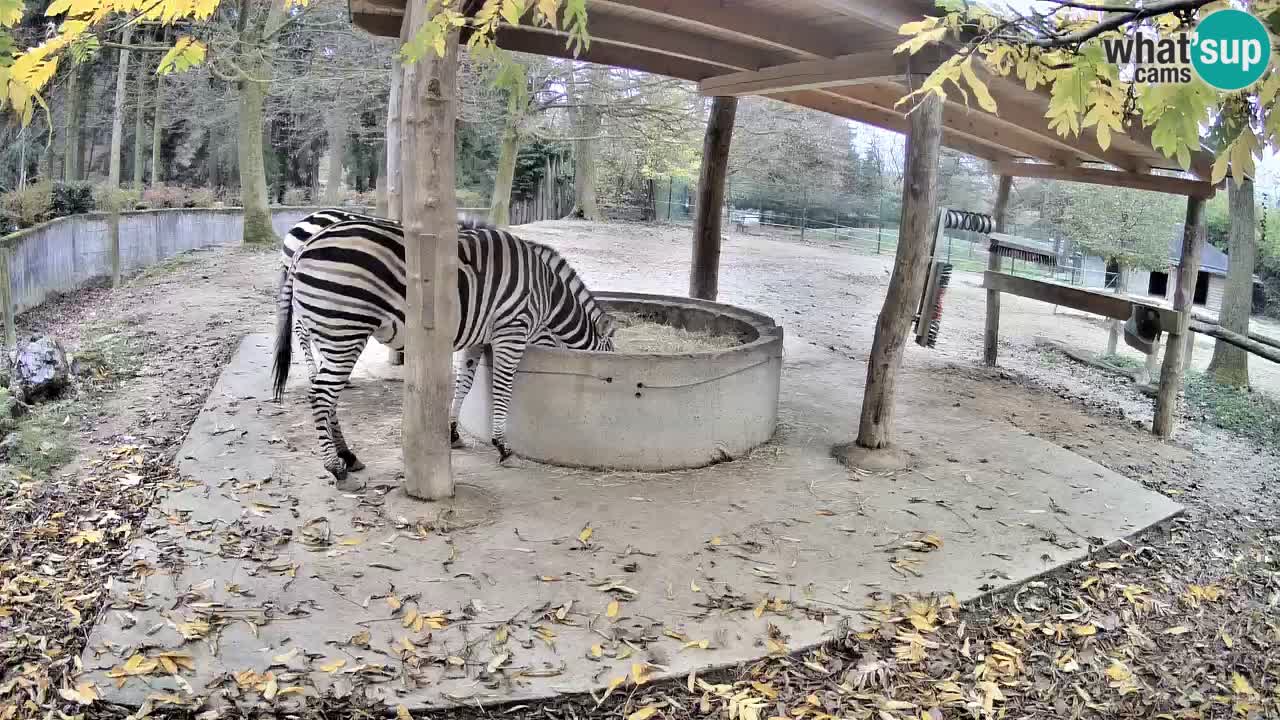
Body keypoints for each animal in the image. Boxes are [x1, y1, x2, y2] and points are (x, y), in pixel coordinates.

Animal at [272, 217, 616, 483]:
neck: (548, 294)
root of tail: (304, 247)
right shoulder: (511, 331)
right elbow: (502, 388)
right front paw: (502, 445)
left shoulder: (479, 337)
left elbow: (464, 383)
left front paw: (452, 433)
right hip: (344, 330)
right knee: (321, 394)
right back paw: (334, 465)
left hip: (333, 332)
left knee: (327, 394)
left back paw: (348, 455)